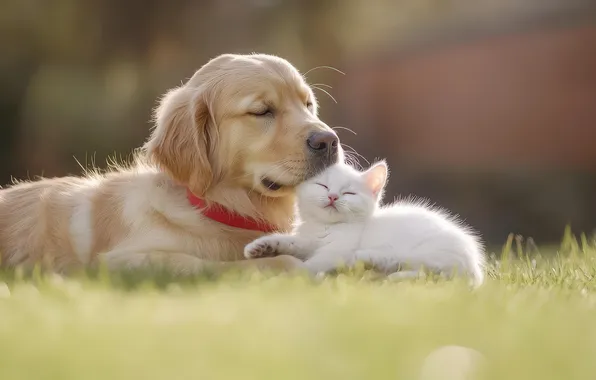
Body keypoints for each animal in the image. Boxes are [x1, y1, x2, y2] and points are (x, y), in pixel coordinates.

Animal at [0, 53, 342, 274]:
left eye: (308, 104)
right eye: (262, 111)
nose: (329, 141)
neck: (220, 210)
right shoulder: (122, 261)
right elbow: (223, 266)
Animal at [243, 160, 484, 284]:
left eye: (349, 193)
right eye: (323, 186)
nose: (333, 197)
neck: (326, 227)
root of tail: (474, 265)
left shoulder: (334, 251)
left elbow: (310, 266)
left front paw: (284, 279)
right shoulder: (309, 240)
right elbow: (294, 244)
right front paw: (262, 247)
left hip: (428, 252)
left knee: (433, 272)